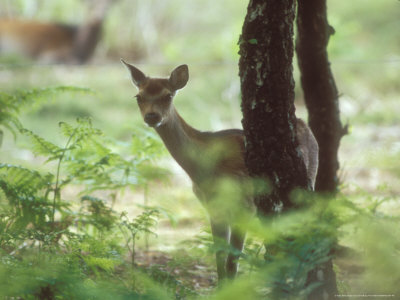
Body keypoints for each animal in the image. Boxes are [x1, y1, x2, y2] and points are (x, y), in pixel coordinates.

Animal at [120, 59, 318, 282]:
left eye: (168, 95)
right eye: (139, 96)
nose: (152, 116)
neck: (204, 169)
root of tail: (304, 124)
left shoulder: (245, 205)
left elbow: (232, 263)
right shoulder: (212, 208)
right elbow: (220, 260)